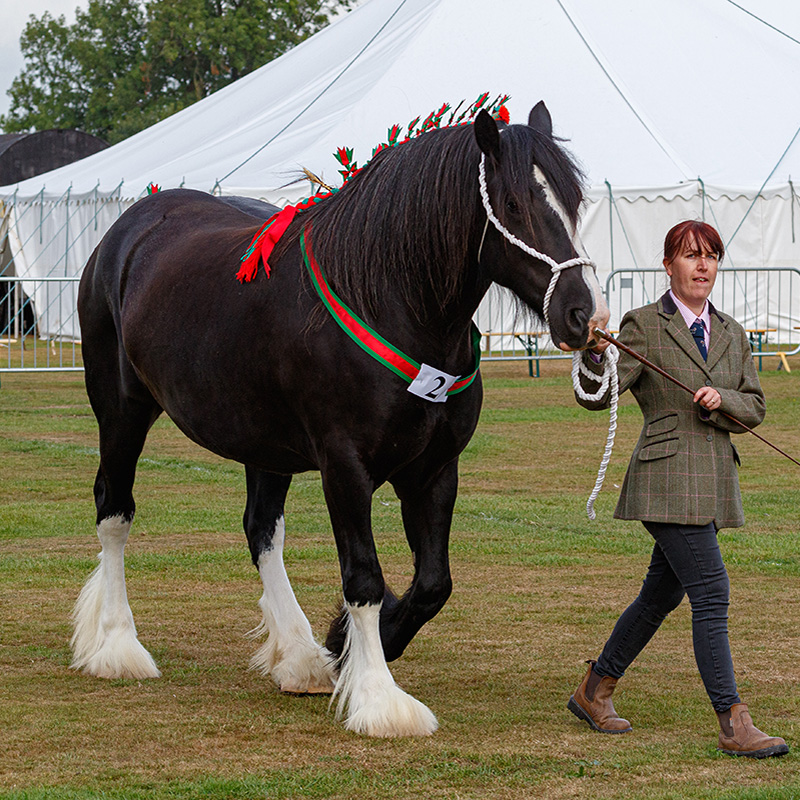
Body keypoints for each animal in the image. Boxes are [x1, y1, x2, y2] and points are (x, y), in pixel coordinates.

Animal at [75, 106, 608, 736]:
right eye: (515, 204)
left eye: (575, 201)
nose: (585, 315)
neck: (390, 300)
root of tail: (131, 226)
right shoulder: (344, 466)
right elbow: (365, 579)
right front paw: (379, 697)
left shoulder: (434, 470)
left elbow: (433, 584)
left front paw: (340, 646)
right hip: (122, 410)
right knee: (115, 510)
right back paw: (117, 646)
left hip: (264, 442)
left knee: (261, 529)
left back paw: (300, 656)